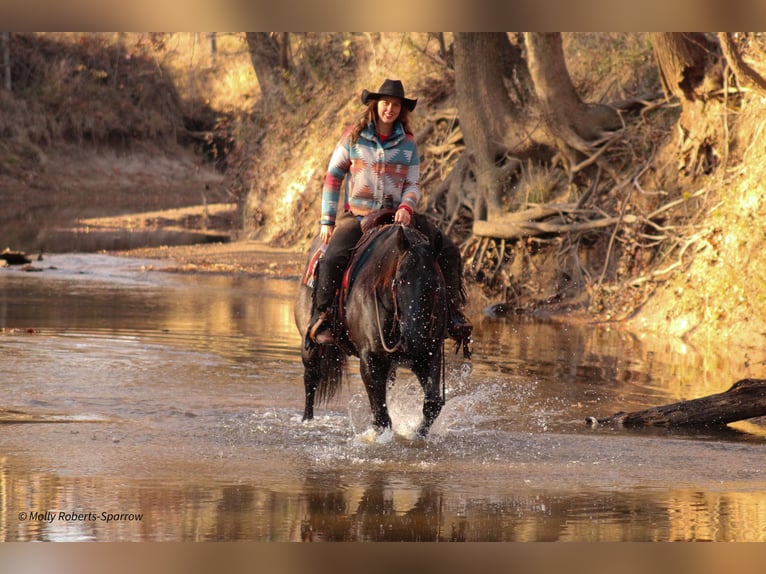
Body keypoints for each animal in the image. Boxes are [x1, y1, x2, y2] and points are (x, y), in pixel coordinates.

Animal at [294, 214, 450, 438]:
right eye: (400, 280)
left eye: (436, 284)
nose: (414, 339)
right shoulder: (370, 359)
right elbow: (381, 415)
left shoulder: (428, 356)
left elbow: (432, 404)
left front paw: (417, 434)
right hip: (311, 346)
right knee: (310, 380)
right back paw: (307, 421)